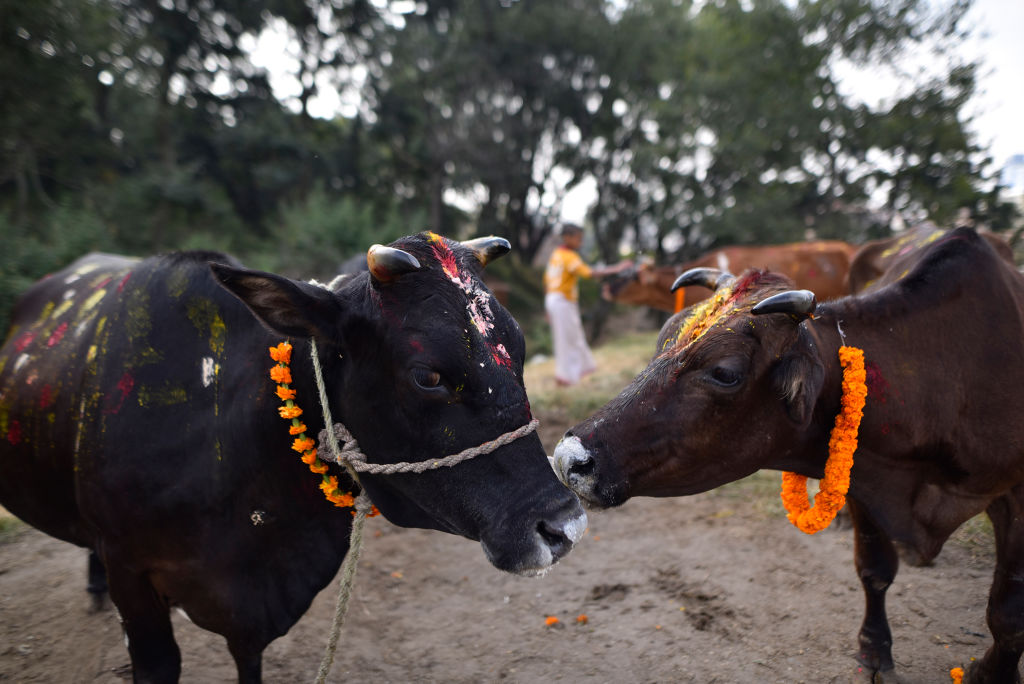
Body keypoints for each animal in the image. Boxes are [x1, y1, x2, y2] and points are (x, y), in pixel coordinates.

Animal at [0, 232, 586, 683]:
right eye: (428, 375)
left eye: (519, 345)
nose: (564, 525)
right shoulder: (131, 573)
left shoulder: (252, 616)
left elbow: (249, 662)